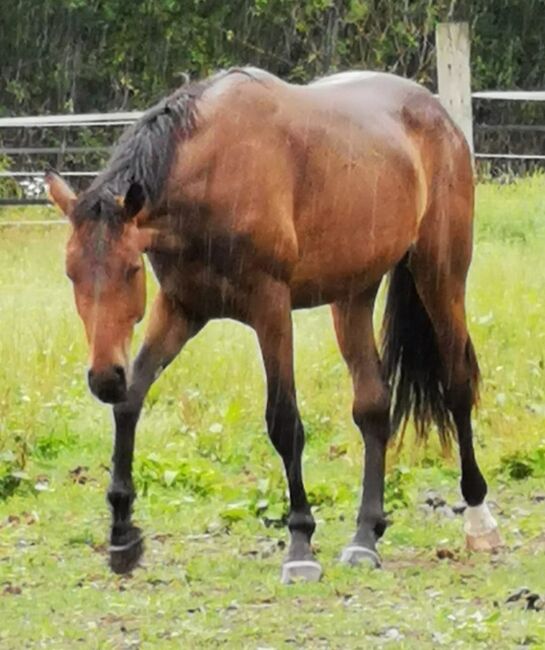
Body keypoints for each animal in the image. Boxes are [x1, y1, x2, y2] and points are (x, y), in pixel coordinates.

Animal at [46, 67, 502, 584]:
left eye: (129, 270)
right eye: (71, 273)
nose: (104, 377)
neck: (213, 172)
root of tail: (440, 116)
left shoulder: (271, 309)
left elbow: (284, 421)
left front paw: (300, 543)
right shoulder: (180, 309)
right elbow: (131, 402)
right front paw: (123, 535)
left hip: (440, 274)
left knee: (457, 385)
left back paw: (480, 520)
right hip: (353, 294)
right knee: (372, 405)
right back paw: (365, 537)